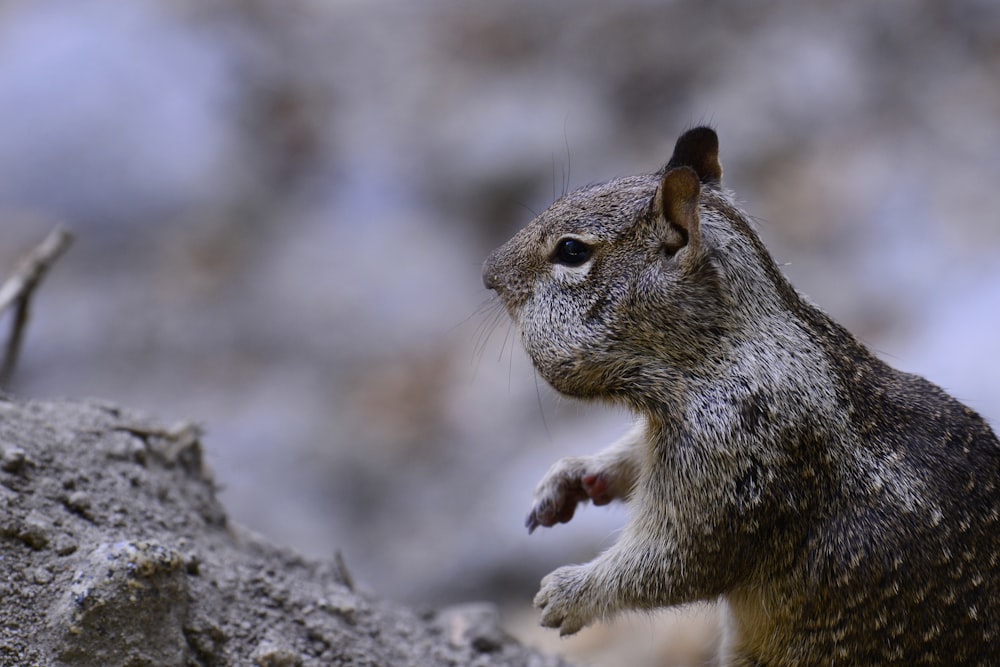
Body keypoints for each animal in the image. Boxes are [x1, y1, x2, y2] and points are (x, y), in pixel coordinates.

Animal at [480, 126, 1000, 667]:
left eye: (572, 251)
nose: (488, 272)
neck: (724, 352)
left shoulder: (733, 463)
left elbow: (677, 563)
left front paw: (567, 593)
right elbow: (633, 457)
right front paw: (571, 478)